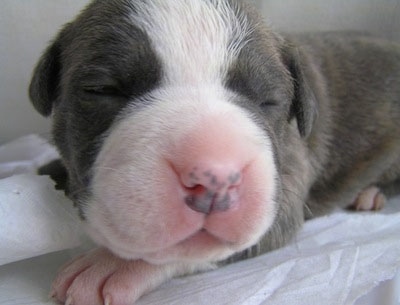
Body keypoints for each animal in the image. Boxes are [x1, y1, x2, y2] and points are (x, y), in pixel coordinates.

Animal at [28, 0, 400, 304]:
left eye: (269, 101)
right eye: (102, 90)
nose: (215, 176)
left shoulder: (285, 191)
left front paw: (113, 264)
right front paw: (47, 171)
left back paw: (370, 193)